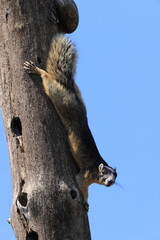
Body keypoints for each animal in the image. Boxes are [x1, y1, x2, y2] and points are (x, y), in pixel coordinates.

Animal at [23, 34, 116, 208]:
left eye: (116, 176)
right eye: (104, 173)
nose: (111, 183)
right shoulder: (86, 174)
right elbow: (81, 185)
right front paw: (85, 201)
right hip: (60, 98)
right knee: (48, 79)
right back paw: (37, 70)